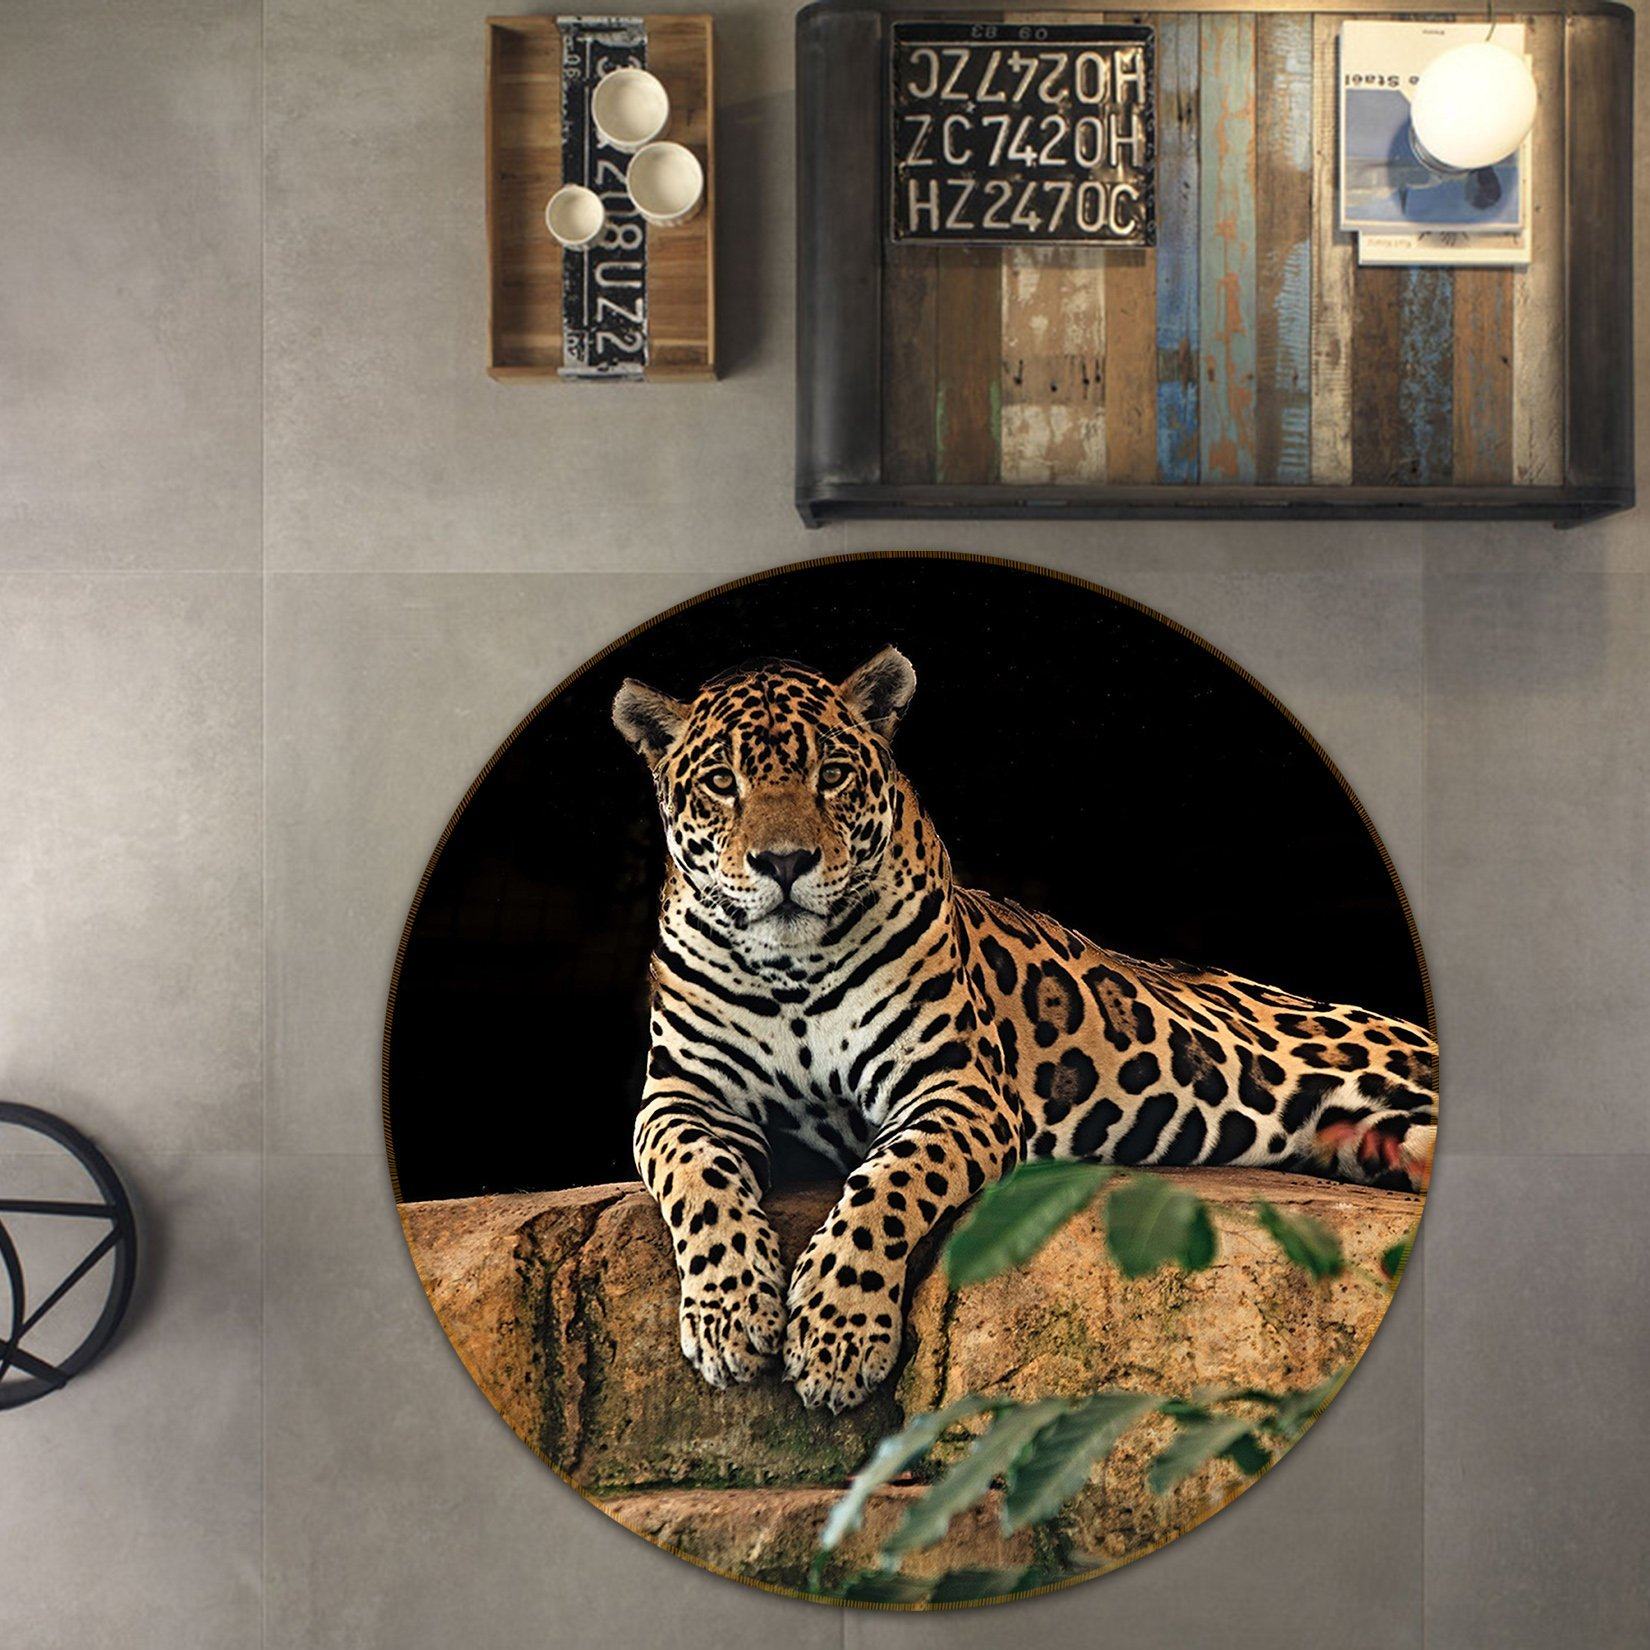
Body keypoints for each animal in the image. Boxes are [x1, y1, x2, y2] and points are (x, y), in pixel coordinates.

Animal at [611, 648, 1436, 1413]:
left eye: (834, 775)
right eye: (723, 783)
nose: (784, 862)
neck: (791, 969)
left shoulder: (955, 1090)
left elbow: (886, 1188)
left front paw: (835, 1335)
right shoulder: (683, 1098)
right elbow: (700, 1180)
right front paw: (729, 1318)